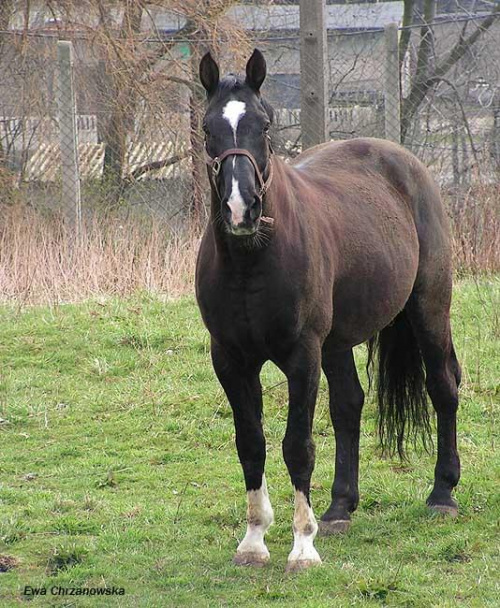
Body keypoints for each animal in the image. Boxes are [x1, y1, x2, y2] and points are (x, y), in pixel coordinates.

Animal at [195, 50, 460, 572]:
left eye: (264, 125)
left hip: (429, 311)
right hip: (337, 342)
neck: (252, 260)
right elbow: (251, 443)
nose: (241, 208)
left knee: (443, 387)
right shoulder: (231, 360)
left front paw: (302, 547)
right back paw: (340, 507)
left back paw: (442, 494)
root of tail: (404, 162)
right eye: (207, 128)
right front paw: (254, 540)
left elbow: (297, 445)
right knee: (348, 406)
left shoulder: (303, 356)